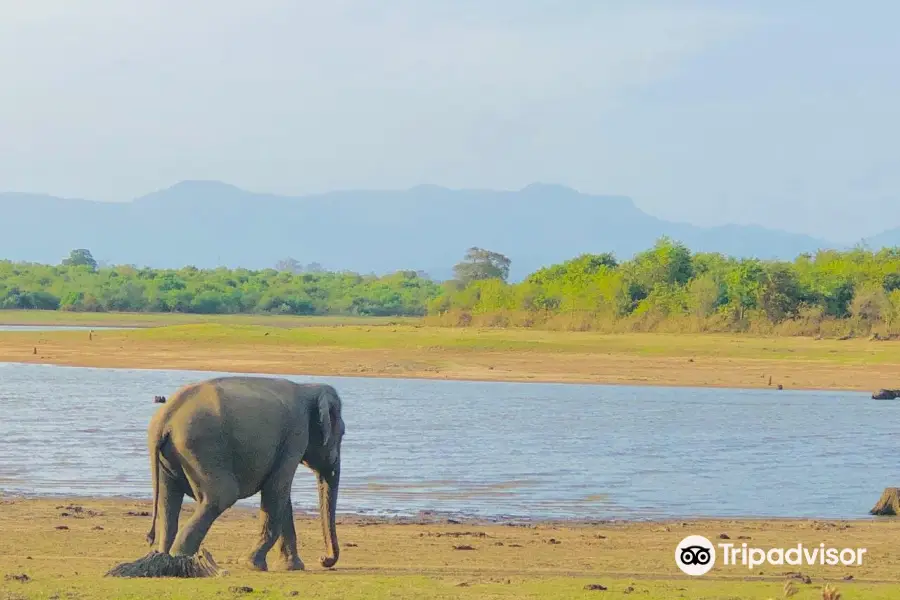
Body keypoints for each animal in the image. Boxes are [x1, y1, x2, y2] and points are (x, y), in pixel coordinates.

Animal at [146, 378, 346, 568]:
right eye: (343, 434)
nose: (323, 559)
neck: (308, 387)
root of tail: (166, 418)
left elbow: (282, 497)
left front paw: (290, 566)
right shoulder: (295, 436)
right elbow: (277, 490)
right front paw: (252, 564)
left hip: (170, 457)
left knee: (168, 501)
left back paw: (164, 557)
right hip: (201, 448)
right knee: (221, 497)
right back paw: (182, 559)